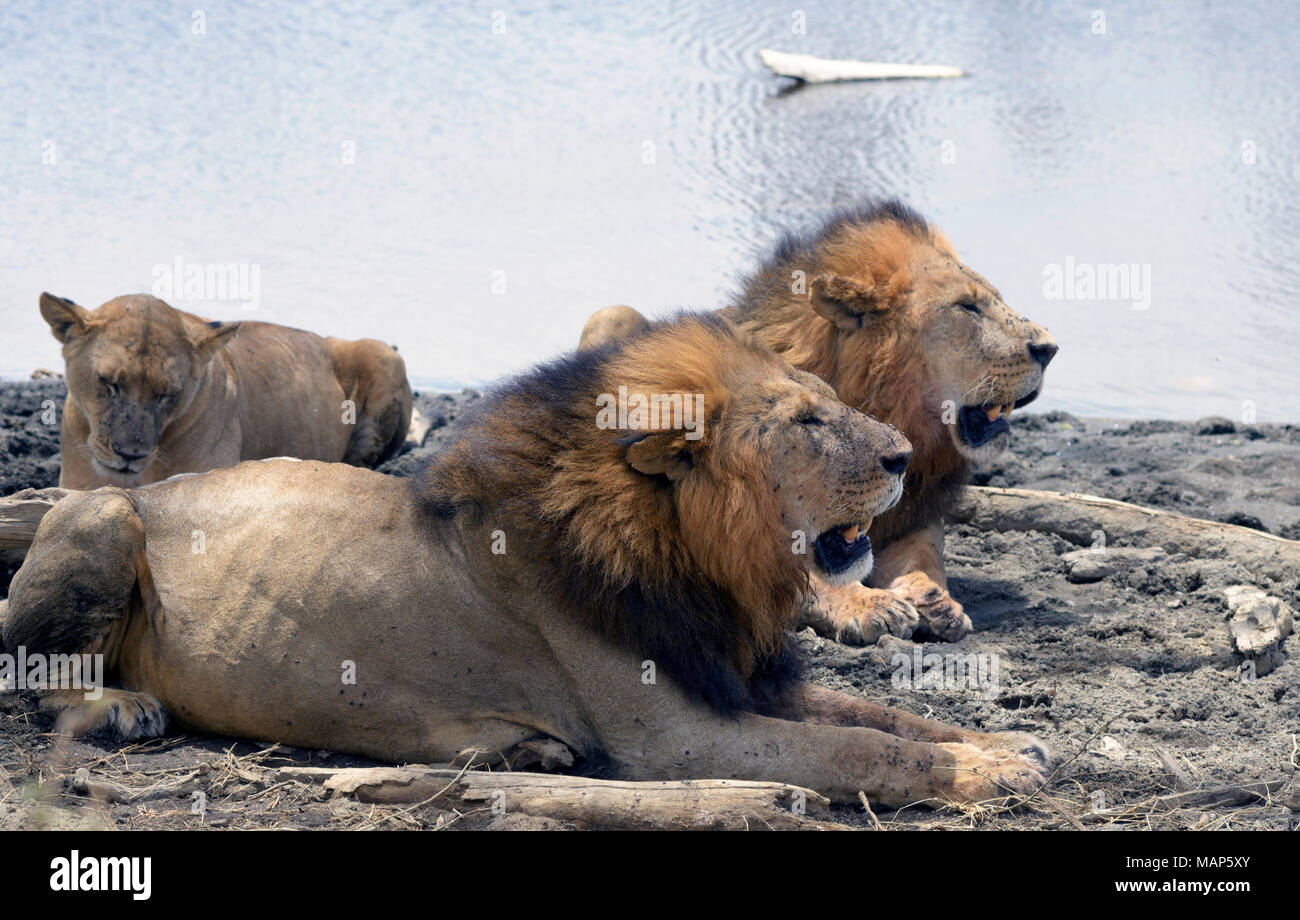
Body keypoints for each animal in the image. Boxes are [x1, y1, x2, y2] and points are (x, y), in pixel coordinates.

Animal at [0, 314, 1050, 805]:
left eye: (826, 401)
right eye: (805, 422)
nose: (903, 455)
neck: (710, 563)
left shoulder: (737, 676)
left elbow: (885, 715)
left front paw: (1007, 748)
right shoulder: (677, 740)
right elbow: (859, 747)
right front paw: (988, 776)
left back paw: (525, 749)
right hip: (105, 516)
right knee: (37, 673)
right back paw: (123, 706)